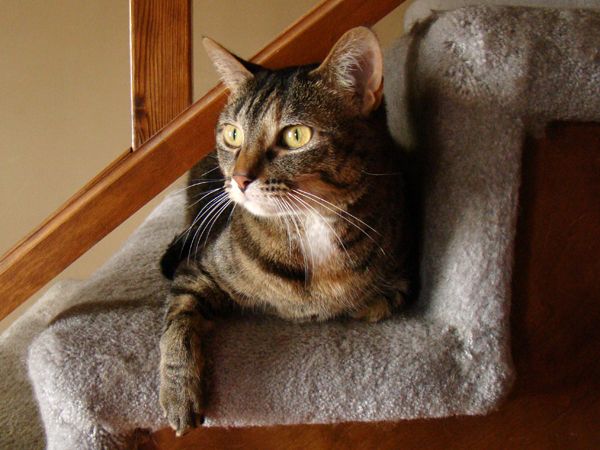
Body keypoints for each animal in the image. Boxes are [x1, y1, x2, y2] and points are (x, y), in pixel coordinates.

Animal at [159, 27, 412, 436]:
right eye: (233, 135)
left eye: (296, 136)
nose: (238, 180)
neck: (310, 226)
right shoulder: (198, 270)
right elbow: (177, 323)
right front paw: (179, 395)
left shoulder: (403, 275)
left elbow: (376, 304)